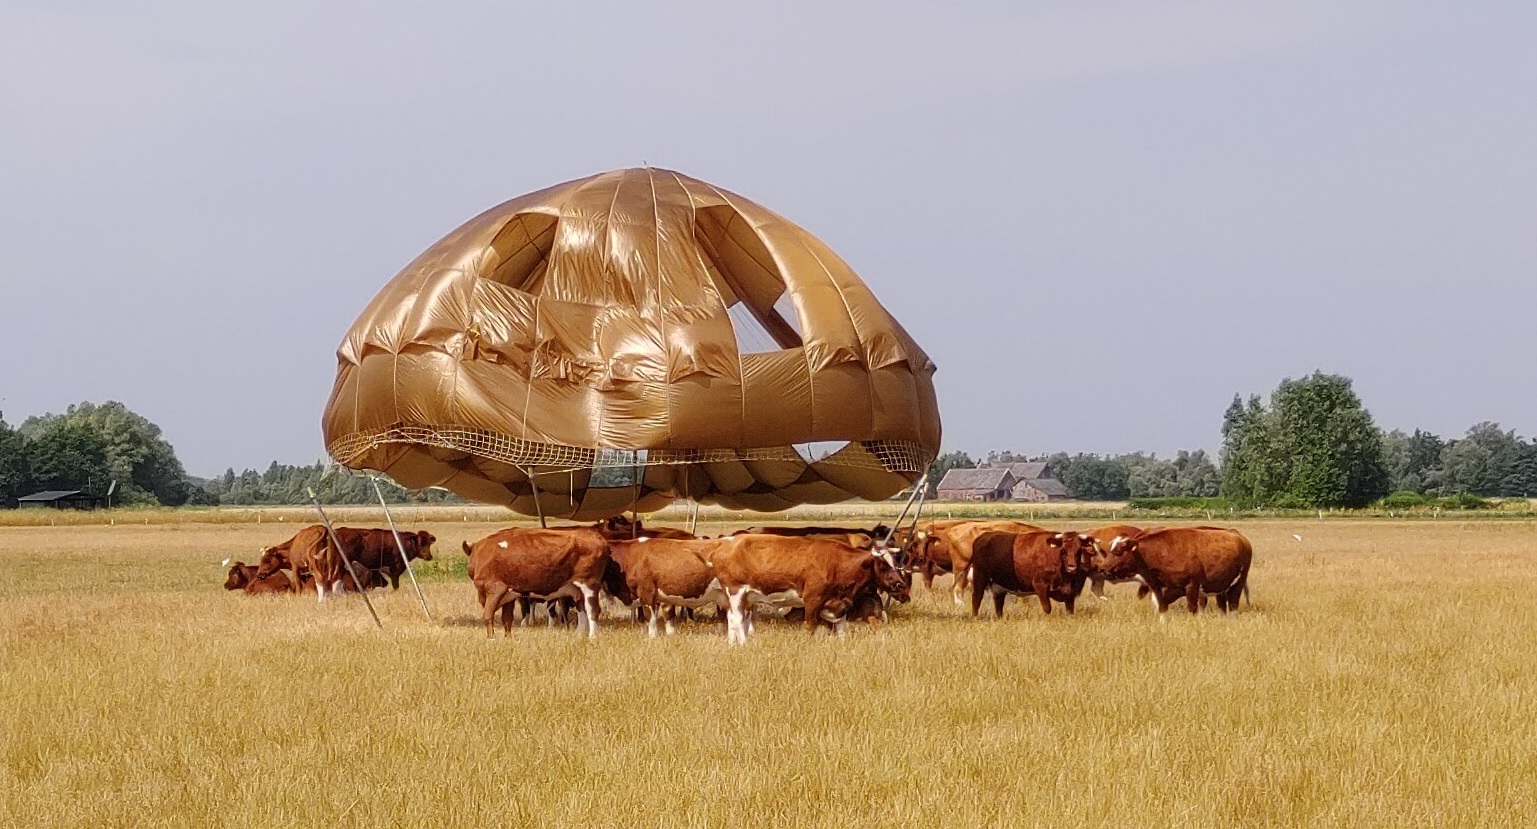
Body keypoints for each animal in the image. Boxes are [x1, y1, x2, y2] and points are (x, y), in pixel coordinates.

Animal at [461, 529, 611, 639]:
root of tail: (597, 536)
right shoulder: (509, 594)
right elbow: (507, 618)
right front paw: (508, 638)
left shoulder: (495, 589)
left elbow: (488, 615)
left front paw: (491, 638)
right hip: (577, 588)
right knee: (582, 610)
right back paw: (579, 635)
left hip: (590, 584)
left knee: (593, 610)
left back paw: (592, 637)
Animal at [710, 535, 903, 645]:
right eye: (883, 565)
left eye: (894, 562)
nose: (900, 584)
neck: (837, 564)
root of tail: (725, 545)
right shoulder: (812, 600)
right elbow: (810, 627)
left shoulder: (839, 604)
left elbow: (841, 629)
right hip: (735, 591)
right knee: (737, 620)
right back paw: (744, 645)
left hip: (746, 596)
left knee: (734, 619)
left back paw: (732, 645)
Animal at [1088, 526, 1254, 615]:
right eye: (1110, 549)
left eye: (1119, 551)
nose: (1103, 568)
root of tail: (1239, 536)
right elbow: (1159, 603)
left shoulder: (1192, 586)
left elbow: (1193, 607)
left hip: (1237, 583)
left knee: (1230, 604)